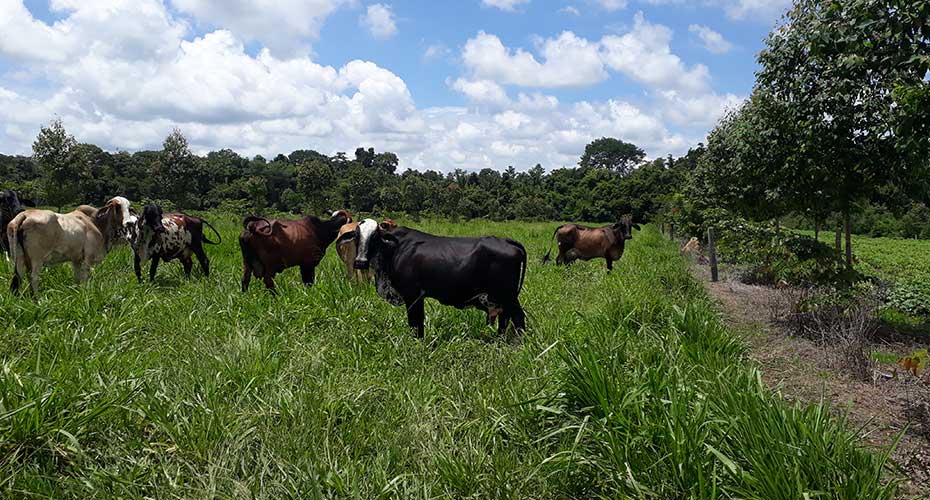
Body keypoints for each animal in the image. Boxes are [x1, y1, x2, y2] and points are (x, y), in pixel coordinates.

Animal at [344, 219, 527, 338]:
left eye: (375, 236)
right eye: (357, 236)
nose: (360, 262)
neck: (394, 249)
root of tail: (506, 240)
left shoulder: (413, 295)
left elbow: (415, 322)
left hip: (507, 295)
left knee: (518, 317)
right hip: (502, 298)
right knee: (505, 318)